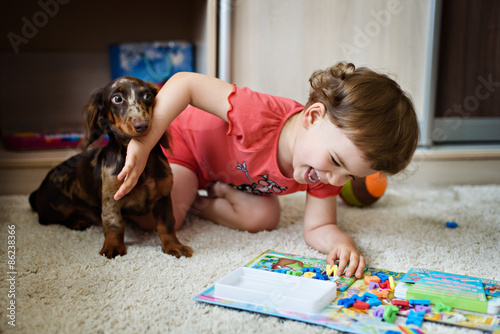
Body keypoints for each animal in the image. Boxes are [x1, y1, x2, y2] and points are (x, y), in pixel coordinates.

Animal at [28, 77, 193, 260]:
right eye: (117, 98)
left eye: (147, 96)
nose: (142, 125)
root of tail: (39, 190)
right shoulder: (111, 198)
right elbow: (114, 222)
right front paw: (113, 247)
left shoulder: (163, 197)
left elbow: (167, 224)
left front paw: (174, 246)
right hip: (56, 209)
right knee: (47, 219)